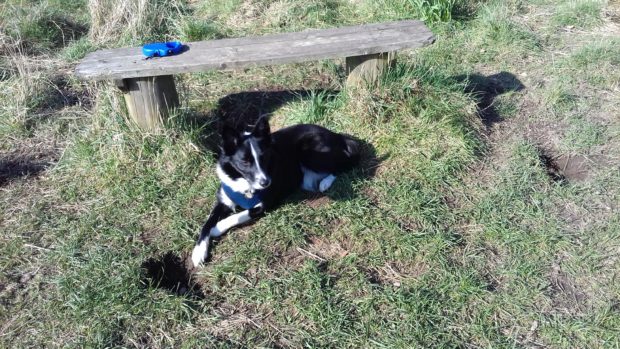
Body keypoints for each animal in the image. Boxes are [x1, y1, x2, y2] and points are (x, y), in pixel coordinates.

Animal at [191, 117, 360, 266]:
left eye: (264, 157)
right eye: (244, 161)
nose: (265, 182)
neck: (243, 182)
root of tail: (336, 135)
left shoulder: (264, 204)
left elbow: (240, 215)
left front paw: (218, 228)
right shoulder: (223, 201)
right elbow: (206, 223)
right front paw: (198, 251)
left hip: (310, 152)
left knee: (346, 164)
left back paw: (325, 182)